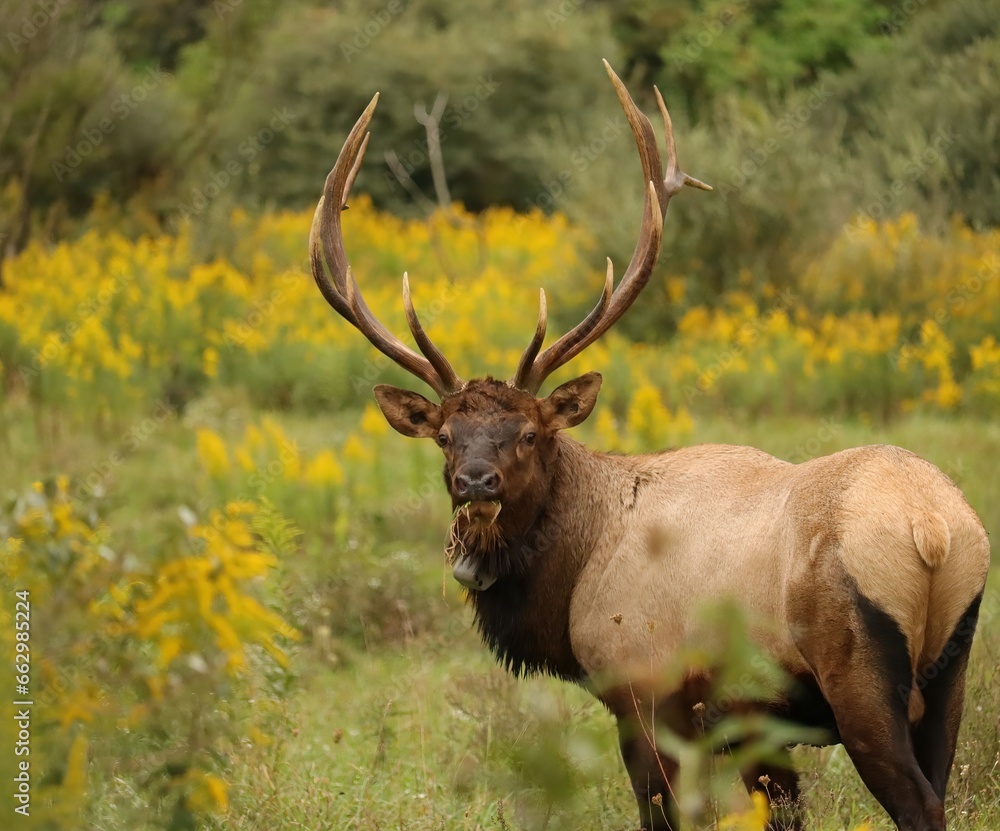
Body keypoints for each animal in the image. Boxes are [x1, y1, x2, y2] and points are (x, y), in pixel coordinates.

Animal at [310, 60, 992, 831]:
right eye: (446, 437)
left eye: (529, 433)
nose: (476, 483)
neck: (575, 567)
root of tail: (935, 528)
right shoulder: (752, 720)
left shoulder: (642, 685)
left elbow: (662, 812)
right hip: (952, 666)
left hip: (860, 674)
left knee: (921, 803)